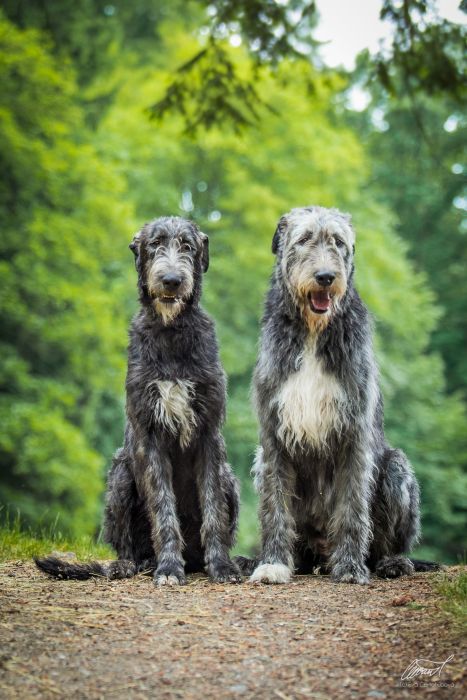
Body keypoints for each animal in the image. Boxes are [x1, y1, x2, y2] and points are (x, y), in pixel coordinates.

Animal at [36, 217, 241, 584]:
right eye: (154, 244)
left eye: (188, 246)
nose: (171, 280)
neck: (171, 333)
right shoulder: (150, 433)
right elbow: (162, 507)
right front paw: (169, 568)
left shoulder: (209, 432)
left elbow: (213, 507)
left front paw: (222, 566)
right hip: (120, 475)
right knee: (125, 543)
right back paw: (133, 564)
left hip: (231, 479)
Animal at [243, 205, 436, 584]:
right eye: (304, 239)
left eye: (338, 241)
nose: (325, 276)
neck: (313, 333)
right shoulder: (272, 433)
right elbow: (274, 505)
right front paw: (272, 563)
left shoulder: (355, 431)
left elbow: (352, 504)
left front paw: (349, 567)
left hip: (396, 468)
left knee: (390, 540)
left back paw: (391, 563)